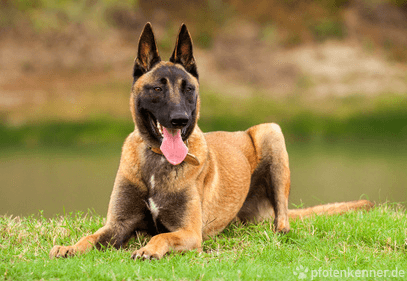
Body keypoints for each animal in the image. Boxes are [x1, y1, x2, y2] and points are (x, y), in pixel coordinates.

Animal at [49, 23, 374, 260]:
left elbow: (161, 234)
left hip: (270, 132)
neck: (157, 161)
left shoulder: (189, 232)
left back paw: (279, 230)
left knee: (283, 218)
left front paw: (148, 248)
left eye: (189, 89)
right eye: (157, 88)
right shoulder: (117, 225)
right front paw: (70, 247)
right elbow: (91, 236)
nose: (180, 120)